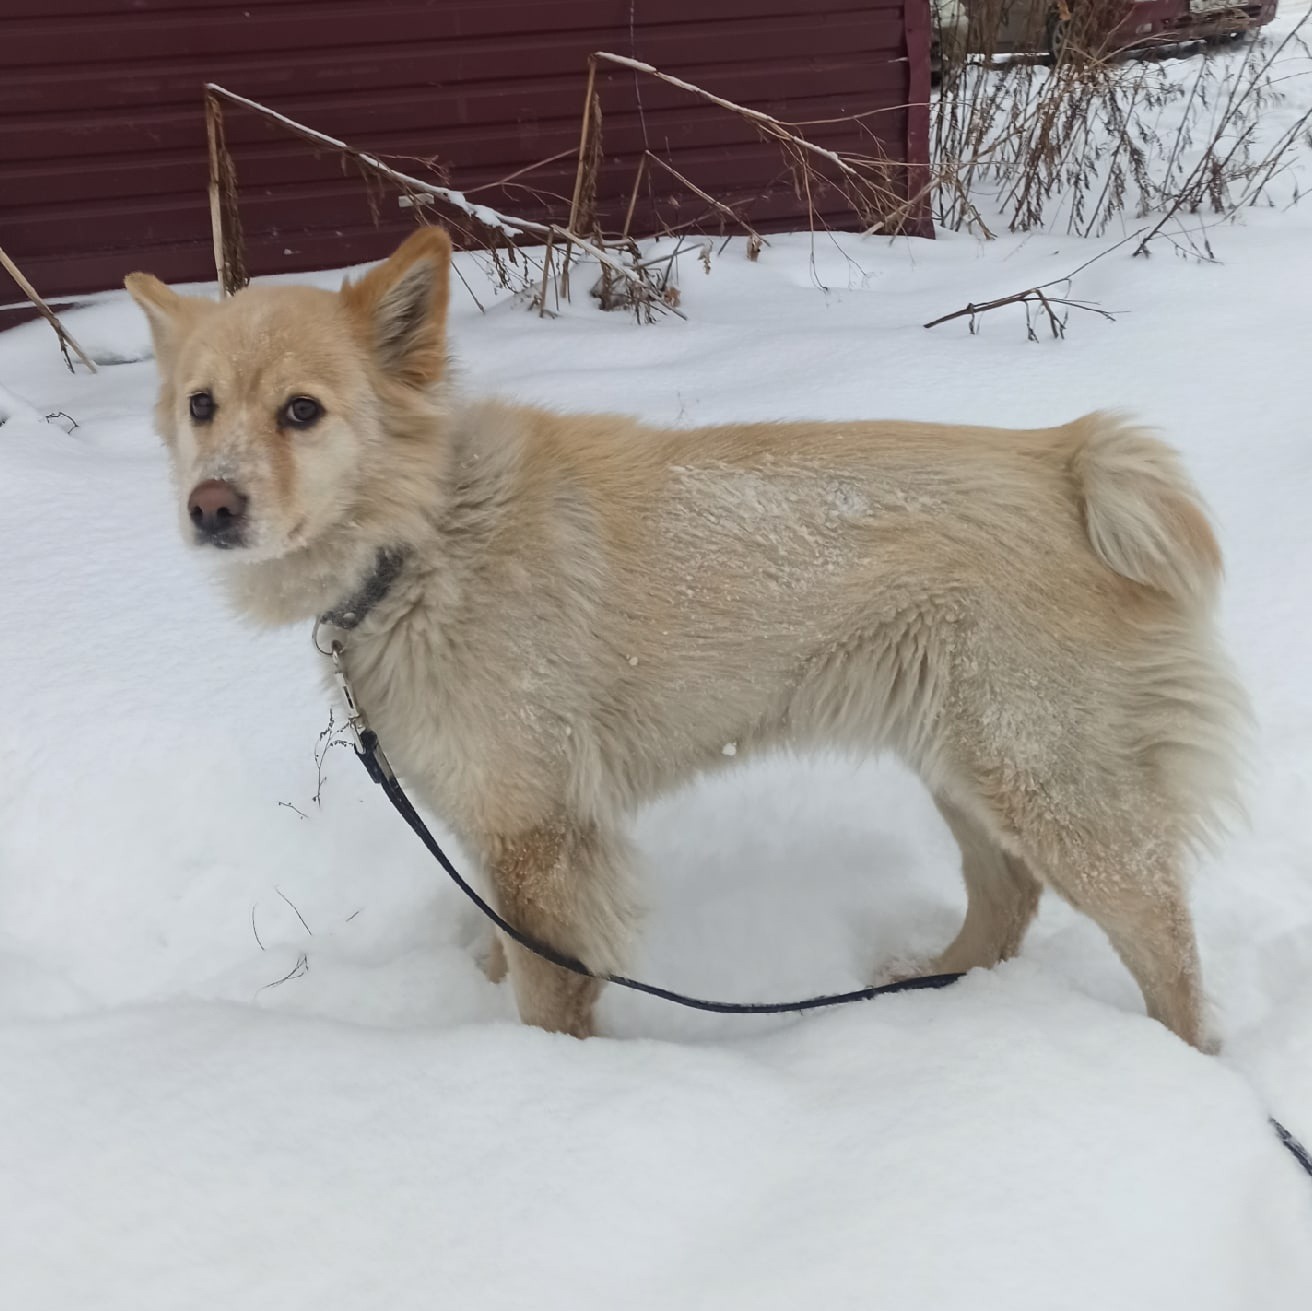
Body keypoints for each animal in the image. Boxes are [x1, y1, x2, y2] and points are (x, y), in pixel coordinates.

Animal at [127, 223, 1243, 1044]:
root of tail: (1065, 460)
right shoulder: (502, 829)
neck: (426, 536)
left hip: (1050, 783)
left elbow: (548, 993)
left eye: (302, 411)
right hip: (965, 766)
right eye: (201, 405)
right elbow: (506, 946)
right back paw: (937, 988)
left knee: (1164, 940)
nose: (211, 507)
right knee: (1006, 896)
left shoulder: (543, 839)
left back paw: (1180, 1069)